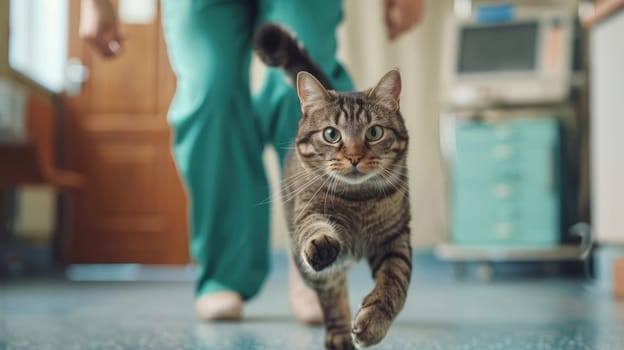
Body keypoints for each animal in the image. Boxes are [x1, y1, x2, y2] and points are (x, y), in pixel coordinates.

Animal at [254, 24, 410, 350]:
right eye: (331, 134)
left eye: (374, 132)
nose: (353, 156)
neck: (359, 201)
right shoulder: (309, 211)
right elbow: (315, 230)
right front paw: (322, 244)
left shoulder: (396, 238)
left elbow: (395, 284)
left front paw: (374, 323)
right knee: (331, 293)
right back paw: (338, 334)